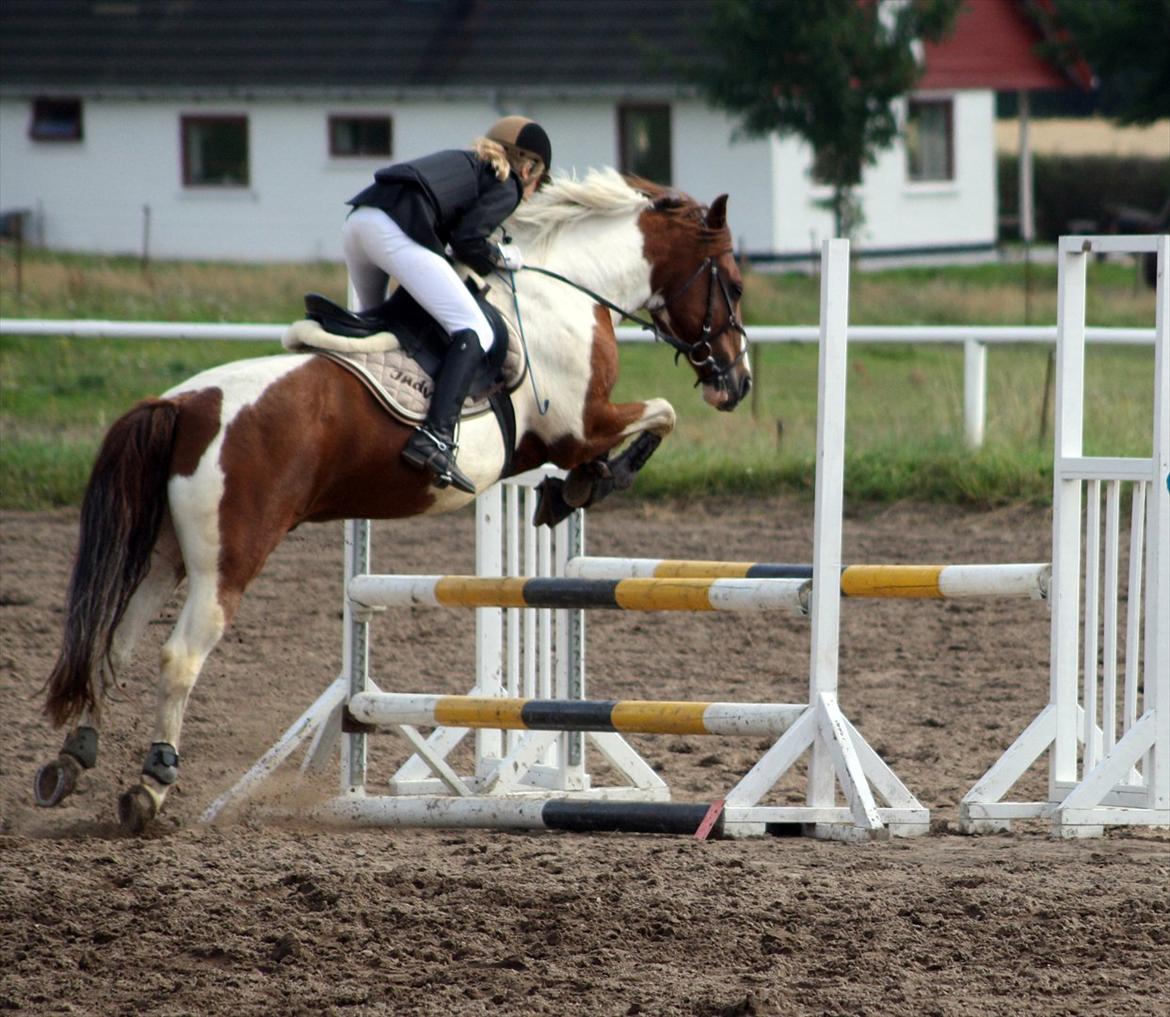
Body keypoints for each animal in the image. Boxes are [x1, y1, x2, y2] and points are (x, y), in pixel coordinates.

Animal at [36, 166, 753, 828]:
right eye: (735, 284)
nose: (738, 382)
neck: (564, 287)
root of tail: (185, 405)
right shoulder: (580, 423)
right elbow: (660, 415)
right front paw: (587, 483)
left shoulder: (562, 436)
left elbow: (631, 435)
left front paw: (572, 488)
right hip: (227, 562)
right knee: (179, 655)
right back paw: (150, 784)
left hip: (168, 552)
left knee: (117, 645)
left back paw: (72, 759)